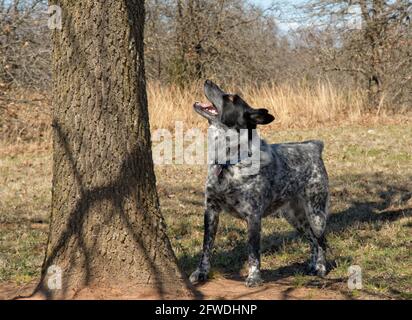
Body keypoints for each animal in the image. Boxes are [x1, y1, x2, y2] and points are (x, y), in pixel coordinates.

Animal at [188, 80, 330, 288]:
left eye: (231, 98)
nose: (208, 81)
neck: (229, 160)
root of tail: (313, 146)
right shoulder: (211, 210)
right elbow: (206, 247)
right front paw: (201, 272)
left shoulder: (253, 216)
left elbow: (253, 252)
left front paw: (254, 277)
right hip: (294, 216)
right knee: (312, 240)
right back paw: (312, 266)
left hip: (316, 213)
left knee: (321, 241)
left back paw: (320, 267)